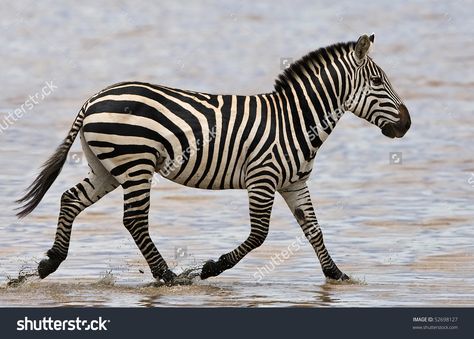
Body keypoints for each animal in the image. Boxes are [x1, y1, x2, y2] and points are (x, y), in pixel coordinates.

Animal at [16, 33, 410, 284]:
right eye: (378, 81)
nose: (406, 124)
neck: (296, 121)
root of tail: (95, 97)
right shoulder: (263, 177)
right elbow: (260, 234)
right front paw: (211, 268)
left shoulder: (294, 182)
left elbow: (314, 230)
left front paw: (336, 274)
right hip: (135, 163)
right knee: (134, 220)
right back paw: (169, 277)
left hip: (108, 167)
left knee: (70, 199)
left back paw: (49, 264)